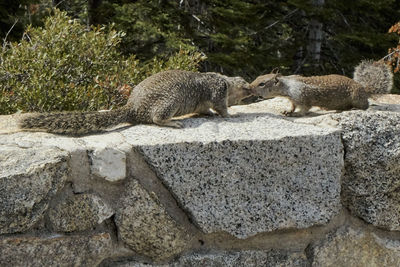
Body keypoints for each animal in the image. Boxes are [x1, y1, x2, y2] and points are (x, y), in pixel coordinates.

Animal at [20, 70, 252, 136]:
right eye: (246, 85)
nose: (252, 89)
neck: (225, 80)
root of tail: (132, 107)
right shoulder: (218, 92)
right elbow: (221, 107)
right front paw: (231, 115)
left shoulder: (203, 101)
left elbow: (205, 109)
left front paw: (209, 114)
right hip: (170, 101)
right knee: (157, 118)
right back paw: (173, 122)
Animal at [250, 60, 394, 116]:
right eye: (258, 77)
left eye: (262, 83)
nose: (250, 87)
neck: (287, 86)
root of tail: (364, 89)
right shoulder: (293, 99)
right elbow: (293, 106)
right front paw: (287, 111)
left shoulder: (302, 96)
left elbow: (304, 109)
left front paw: (296, 114)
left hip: (357, 97)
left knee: (365, 105)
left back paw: (354, 108)